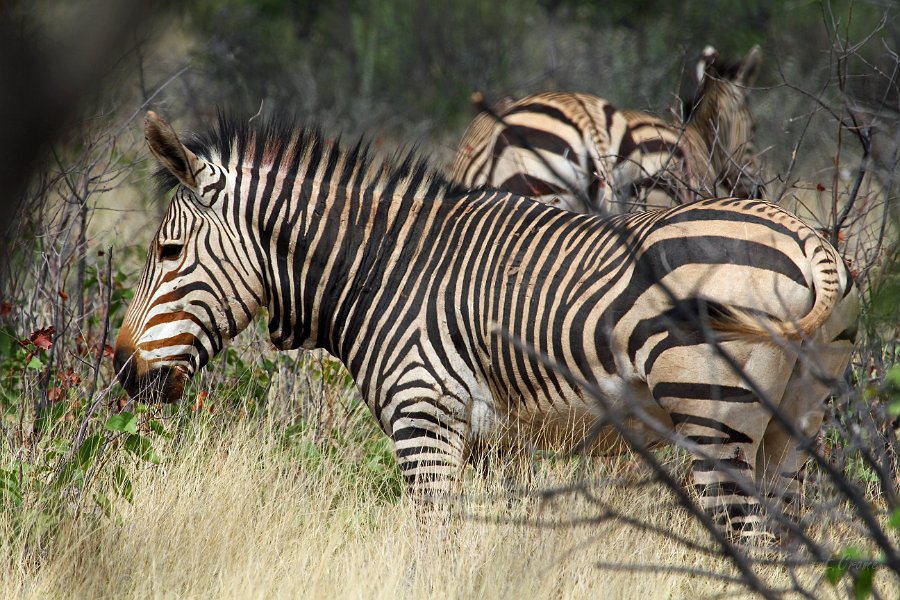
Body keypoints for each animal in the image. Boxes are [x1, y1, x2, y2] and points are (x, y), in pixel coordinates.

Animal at [116, 110, 860, 540]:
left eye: (169, 252)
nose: (123, 369)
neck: (382, 270)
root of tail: (807, 241)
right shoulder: (494, 449)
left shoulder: (424, 423)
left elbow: (430, 551)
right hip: (796, 427)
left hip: (715, 420)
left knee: (748, 537)